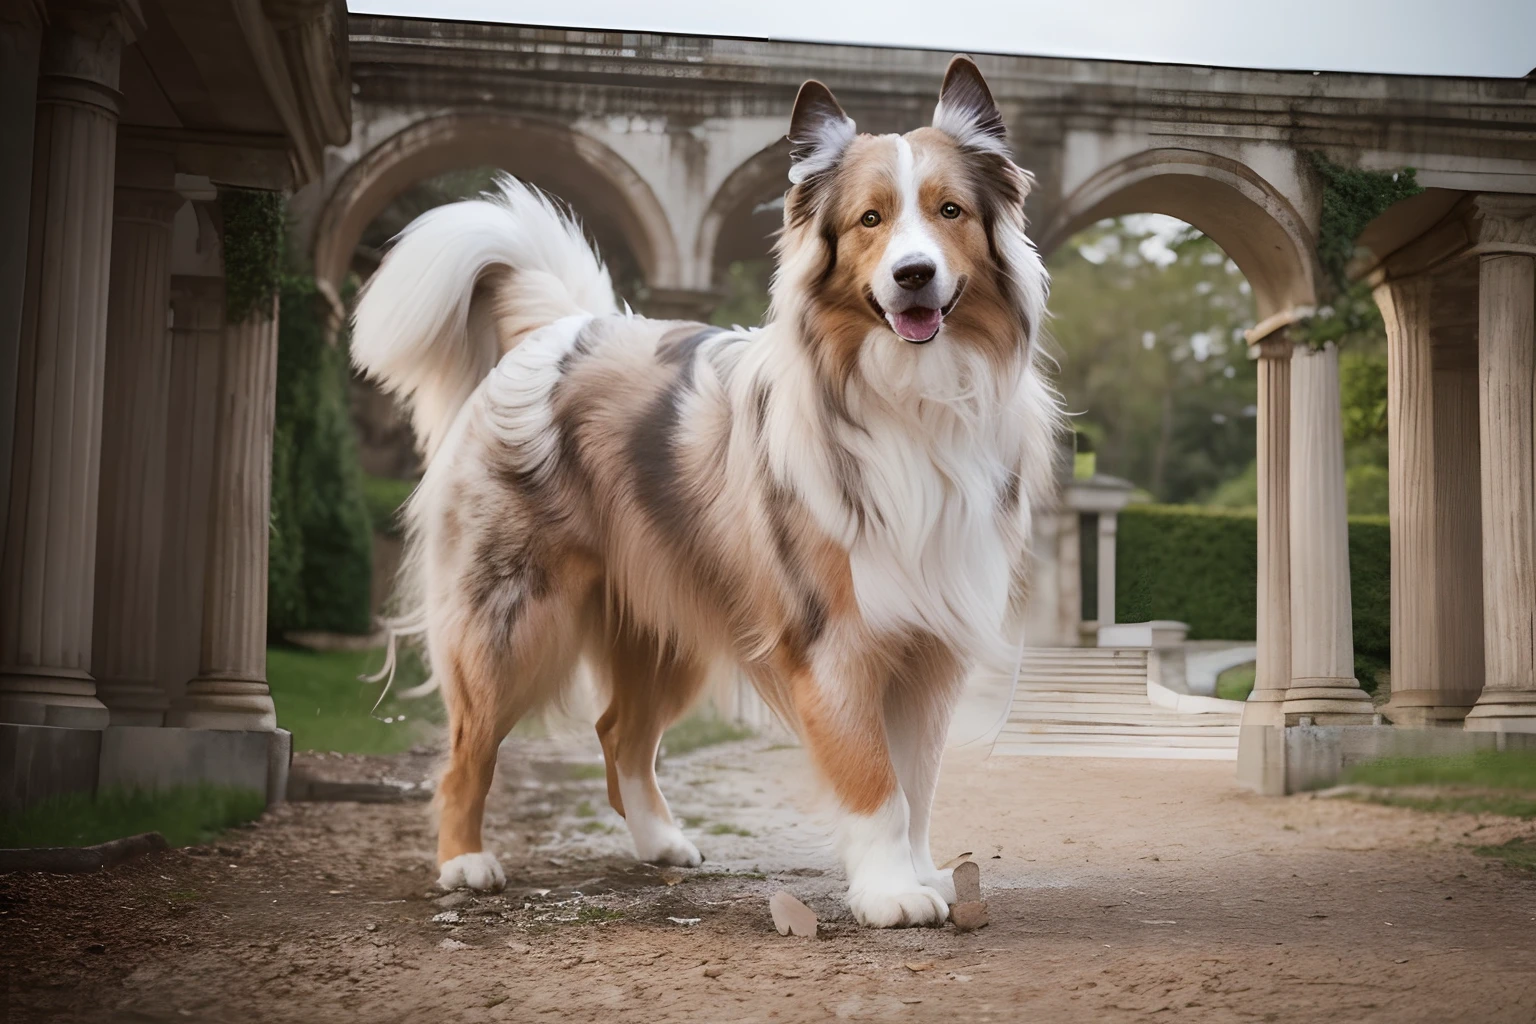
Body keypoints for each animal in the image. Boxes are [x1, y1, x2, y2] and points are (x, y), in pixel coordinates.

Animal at [351, 54, 1062, 927]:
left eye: (949, 211)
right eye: (870, 220)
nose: (914, 274)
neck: (909, 397)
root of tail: (561, 331)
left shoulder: (930, 645)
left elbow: (918, 784)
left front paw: (922, 873)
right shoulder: (835, 639)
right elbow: (874, 780)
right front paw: (891, 892)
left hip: (668, 623)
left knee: (619, 732)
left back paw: (659, 842)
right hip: (512, 620)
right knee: (468, 748)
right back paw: (464, 861)